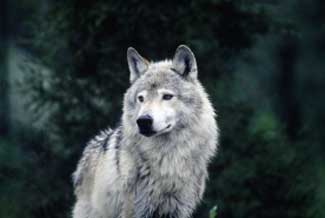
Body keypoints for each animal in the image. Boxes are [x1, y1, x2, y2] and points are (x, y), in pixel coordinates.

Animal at [71, 44, 218, 218]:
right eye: (141, 98)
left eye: (167, 96)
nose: (143, 121)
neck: (167, 159)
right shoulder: (134, 210)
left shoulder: (178, 210)